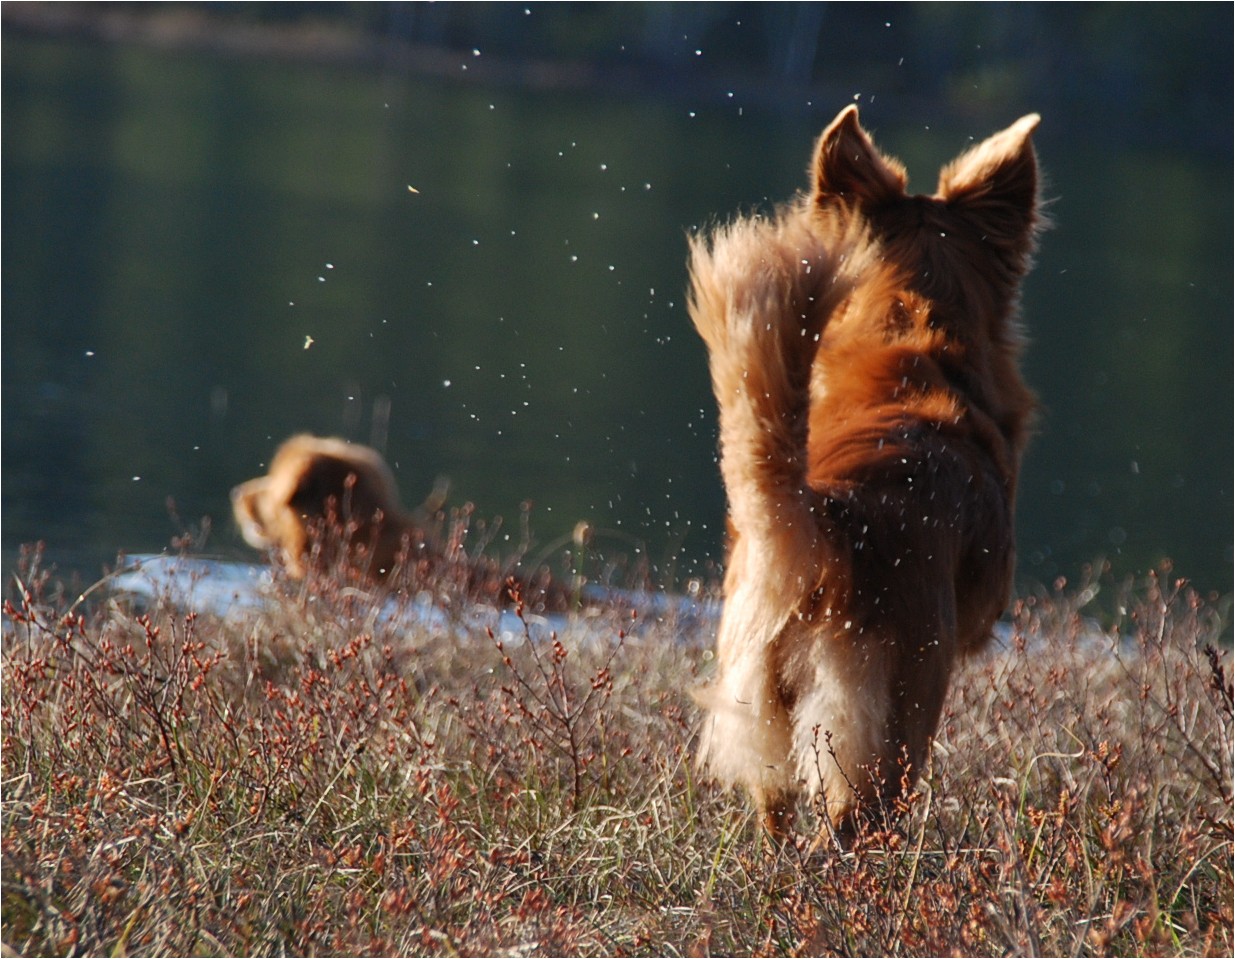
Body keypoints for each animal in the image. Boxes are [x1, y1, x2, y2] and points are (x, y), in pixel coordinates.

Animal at [691, 103, 1037, 839]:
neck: (913, 342)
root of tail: (832, 517)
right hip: (896, 721)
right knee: (856, 820)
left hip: (759, 695)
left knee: (775, 810)